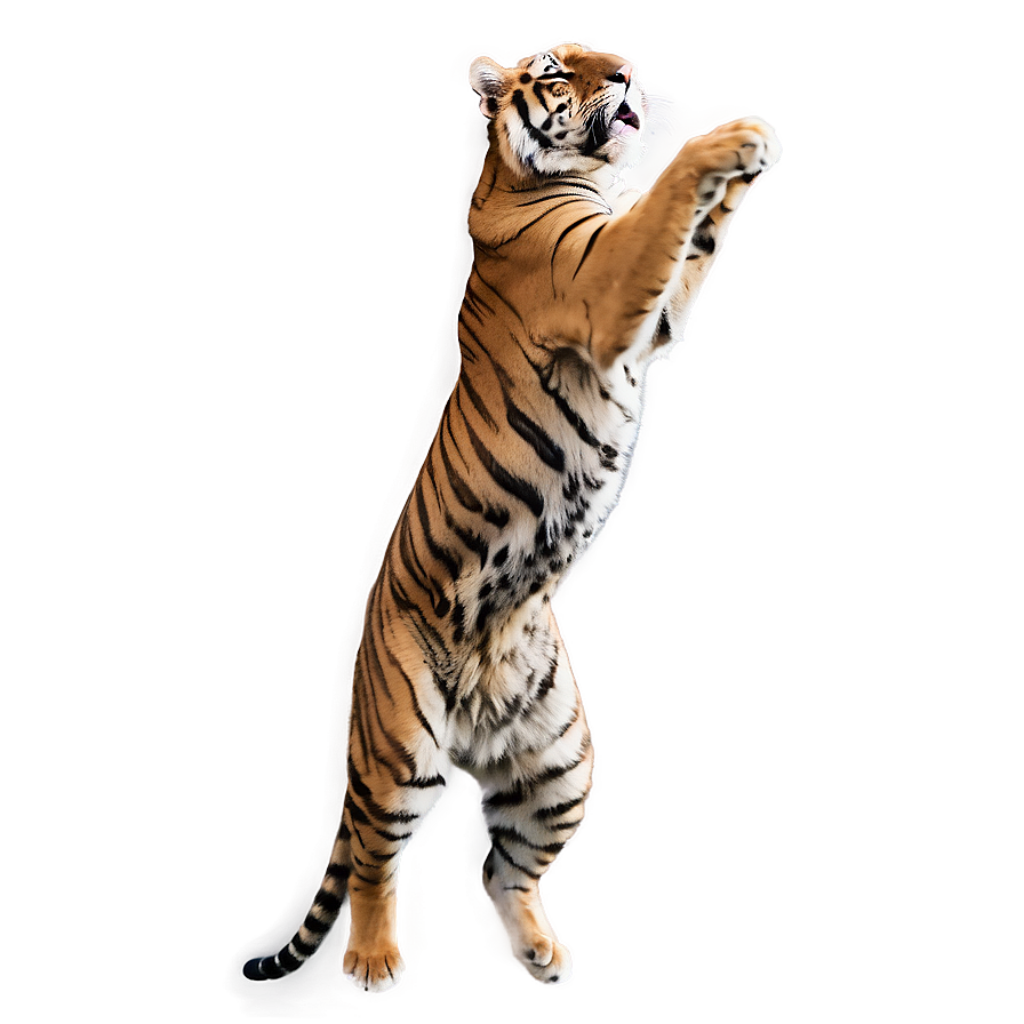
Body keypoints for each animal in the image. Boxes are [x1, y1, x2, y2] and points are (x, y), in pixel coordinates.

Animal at [241, 40, 781, 995]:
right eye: (560, 69)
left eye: (601, 49)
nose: (629, 68)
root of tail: (477, 730)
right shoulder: (608, 288)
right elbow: (670, 204)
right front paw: (733, 136)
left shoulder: (655, 323)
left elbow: (700, 241)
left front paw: (752, 149)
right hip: (404, 752)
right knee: (378, 855)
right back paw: (375, 963)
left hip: (565, 765)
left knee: (504, 863)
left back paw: (539, 949)